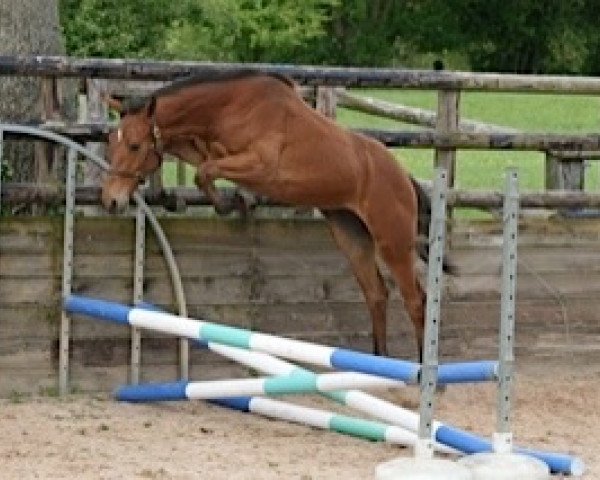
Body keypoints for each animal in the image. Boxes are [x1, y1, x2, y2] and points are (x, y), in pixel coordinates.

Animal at [103, 71, 450, 360]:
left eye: (134, 146)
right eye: (110, 143)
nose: (110, 201)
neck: (230, 107)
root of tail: (404, 177)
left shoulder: (260, 166)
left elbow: (205, 171)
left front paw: (228, 204)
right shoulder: (209, 148)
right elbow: (202, 164)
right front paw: (231, 201)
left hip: (393, 241)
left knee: (416, 300)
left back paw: (424, 370)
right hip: (351, 236)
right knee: (376, 294)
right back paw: (378, 362)